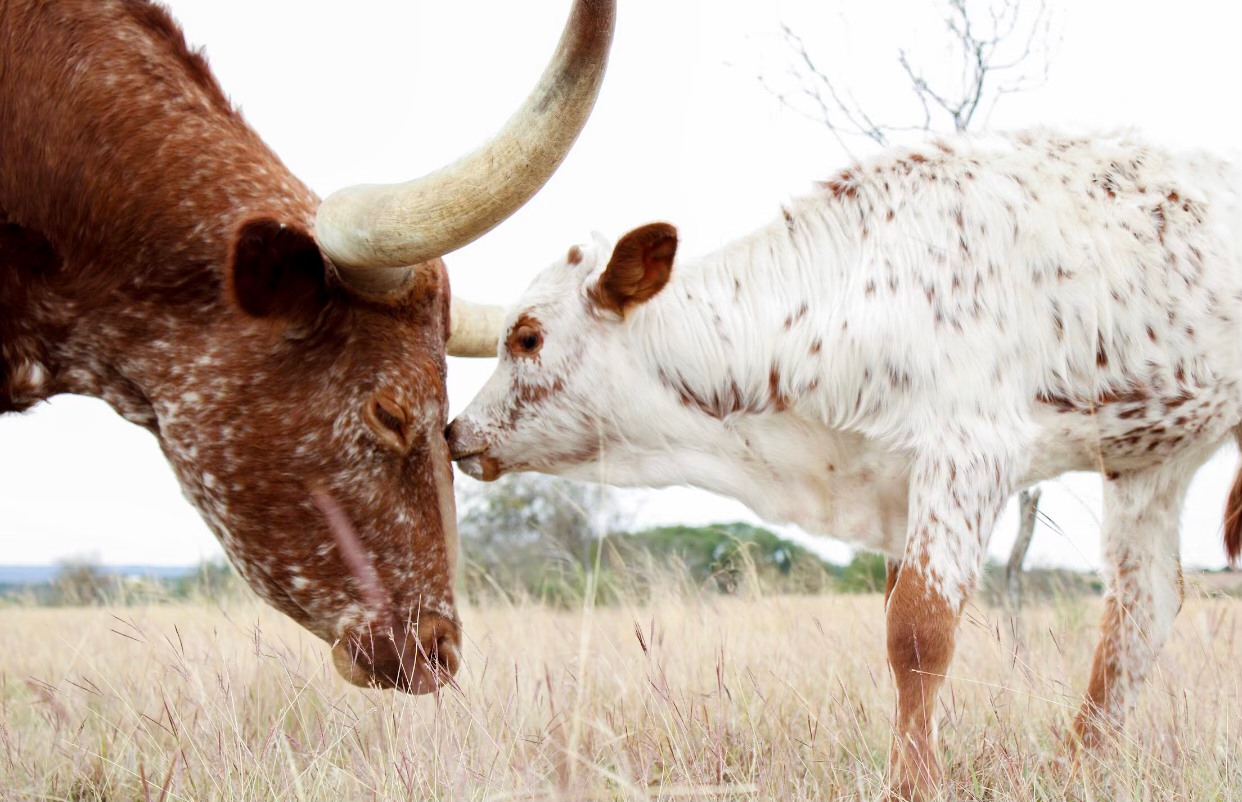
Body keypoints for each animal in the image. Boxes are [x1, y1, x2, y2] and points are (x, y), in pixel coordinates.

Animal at [447, 130, 1242, 797]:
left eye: (527, 336)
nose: (457, 431)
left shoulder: (967, 455)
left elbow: (918, 632)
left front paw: (912, 785)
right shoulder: (899, 488)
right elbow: (900, 631)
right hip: (1149, 457)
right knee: (1141, 608)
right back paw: (1076, 769)